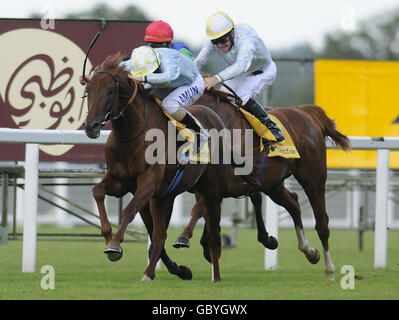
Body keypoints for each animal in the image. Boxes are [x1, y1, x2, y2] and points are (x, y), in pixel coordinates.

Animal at [82, 53, 230, 282]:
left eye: (110, 91)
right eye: (89, 90)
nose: (91, 127)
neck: (133, 134)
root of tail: (213, 115)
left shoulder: (148, 182)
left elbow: (128, 209)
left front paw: (115, 245)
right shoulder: (120, 180)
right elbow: (97, 191)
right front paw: (108, 236)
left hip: (211, 191)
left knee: (213, 233)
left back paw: (216, 277)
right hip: (165, 196)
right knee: (160, 234)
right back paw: (151, 273)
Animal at [175, 91, 350, 282]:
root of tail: (306, 112)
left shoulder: (221, 184)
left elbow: (198, 209)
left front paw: (184, 237)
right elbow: (204, 212)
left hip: (314, 180)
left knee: (322, 224)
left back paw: (329, 270)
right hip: (273, 184)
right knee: (294, 204)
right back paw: (310, 251)